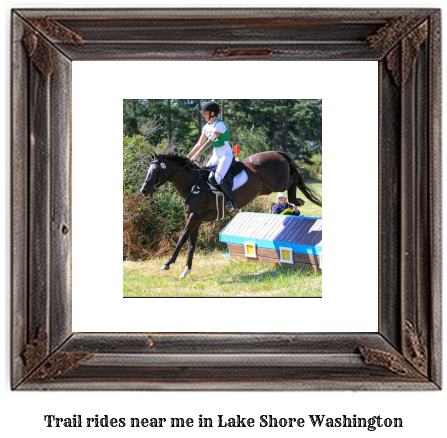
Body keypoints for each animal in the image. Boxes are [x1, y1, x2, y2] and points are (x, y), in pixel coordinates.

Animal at [140, 151, 322, 278]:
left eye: (155, 170)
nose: (144, 190)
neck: (193, 185)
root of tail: (277, 153)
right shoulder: (196, 219)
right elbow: (191, 245)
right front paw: (186, 271)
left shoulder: (194, 217)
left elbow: (181, 239)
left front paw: (167, 263)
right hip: (268, 188)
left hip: (277, 183)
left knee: (294, 177)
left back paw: (296, 198)